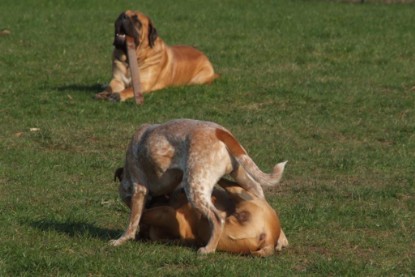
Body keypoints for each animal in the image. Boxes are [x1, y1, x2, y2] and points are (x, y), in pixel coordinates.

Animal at [112, 118, 288, 254]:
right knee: (257, 190)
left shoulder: (139, 189)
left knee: (217, 218)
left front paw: (121, 240)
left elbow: (134, 218)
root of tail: (218, 131)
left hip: (194, 186)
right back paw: (281, 240)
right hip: (239, 173)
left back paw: (208, 249)